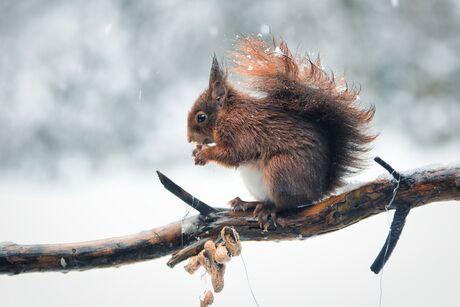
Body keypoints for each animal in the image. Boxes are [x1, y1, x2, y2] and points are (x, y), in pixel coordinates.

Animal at [186, 37, 374, 230]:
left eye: (201, 117)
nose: (189, 139)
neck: (228, 112)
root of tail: (318, 191)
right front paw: (196, 151)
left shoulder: (240, 130)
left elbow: (235, 154)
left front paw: (204, 154)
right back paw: (247, 203)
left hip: (281, 171)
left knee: (286, 204)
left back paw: (268, 209)